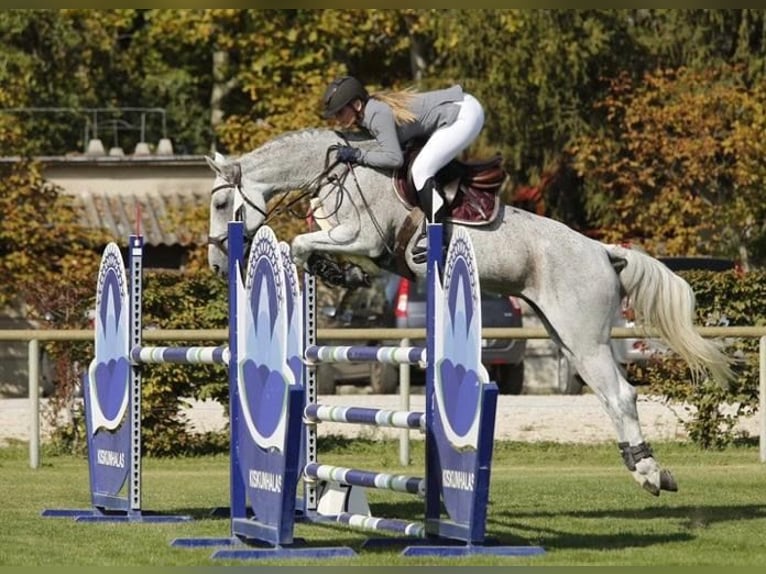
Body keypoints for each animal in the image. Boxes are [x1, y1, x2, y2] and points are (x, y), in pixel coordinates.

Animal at [207, 128, 736, 498]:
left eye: (220, 202)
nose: (215, 260)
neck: (339, 172)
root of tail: (604, 251)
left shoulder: (363, 238)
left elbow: (301, 244)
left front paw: (336, 271)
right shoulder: (358, 244)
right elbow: (313, 249)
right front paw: (343, 275)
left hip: (584, 337)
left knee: (622, 394)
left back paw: (650, 473)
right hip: (565, 335)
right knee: (607, 396)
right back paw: (641, 468)